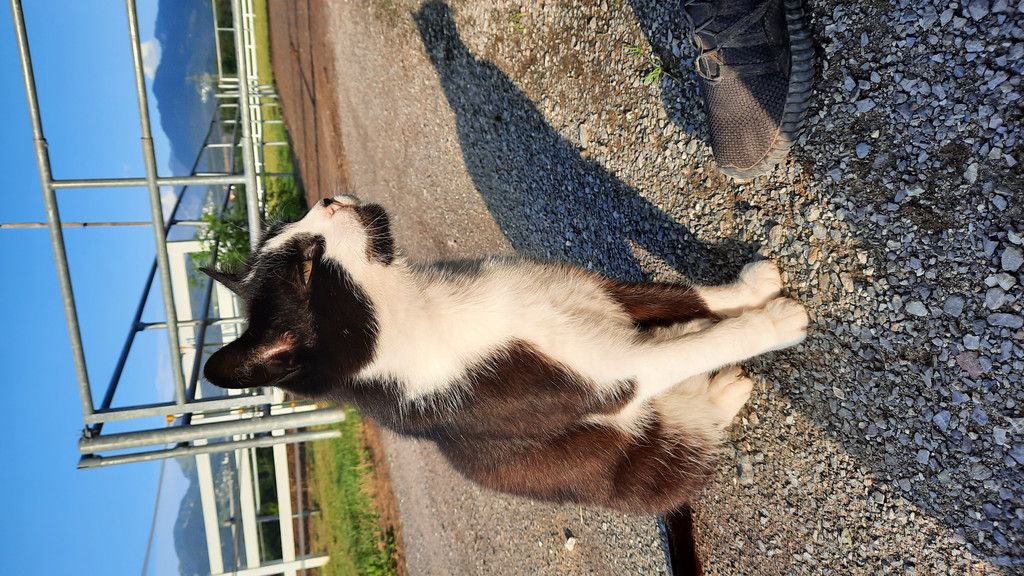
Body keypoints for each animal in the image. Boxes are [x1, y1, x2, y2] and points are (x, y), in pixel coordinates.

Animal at [202, 195, 808, 514]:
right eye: (307, 268)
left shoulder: (592, 292)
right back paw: (720, 391)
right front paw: (774, 321)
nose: (326, 199)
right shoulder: (608, 376)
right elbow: (696, 346)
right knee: (677, 441)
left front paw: (748, 289)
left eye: (298, 236)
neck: (420, 306)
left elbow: (676, 293)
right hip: (635, 468)